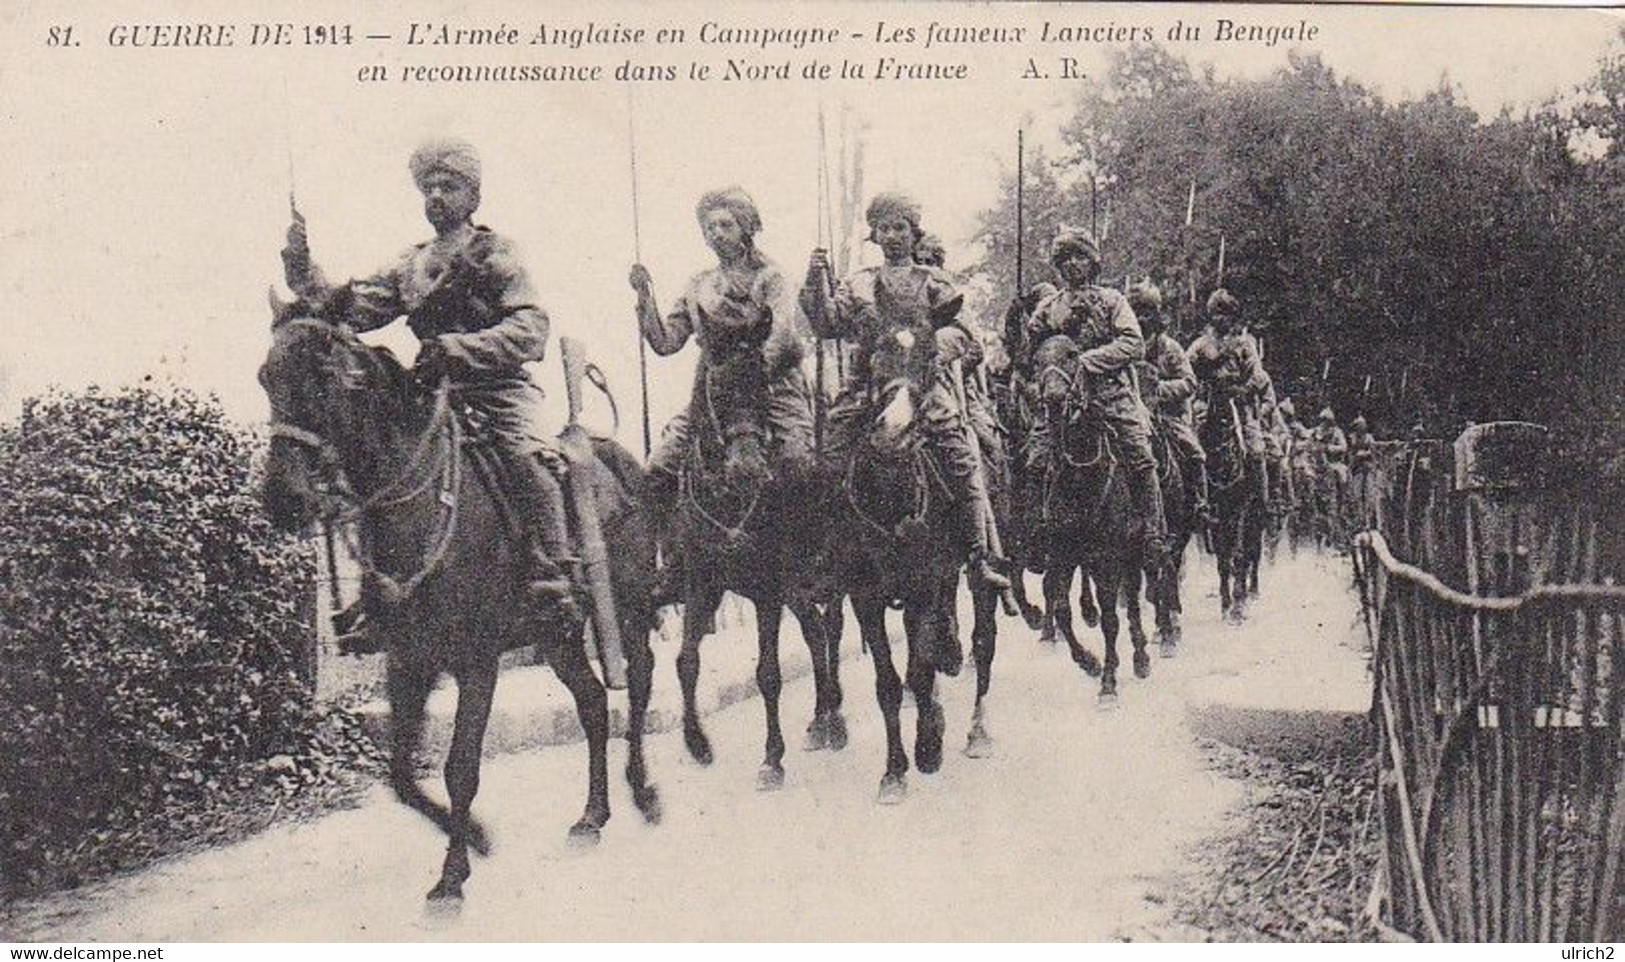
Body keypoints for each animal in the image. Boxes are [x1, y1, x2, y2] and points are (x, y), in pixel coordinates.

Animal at [255, 302, 659, 903]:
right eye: (266, 377)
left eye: (325, 378)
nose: (283, 498)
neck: (422, 504)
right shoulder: (408, 661)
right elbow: (400, 775)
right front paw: (478, 839)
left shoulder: (476, 661)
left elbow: (460, 767)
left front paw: (451, 875)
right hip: (556, 634)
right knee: (591, 702)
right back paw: (592, 816)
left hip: (627, 609)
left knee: (638, 681)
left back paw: (642, 791)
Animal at [672, 352, 851, 789]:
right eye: (717, 385)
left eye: (764, 386)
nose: (748, 468)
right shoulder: (701, 582)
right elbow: (687, 660)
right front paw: (697, 744)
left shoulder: (768, 589)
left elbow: (768, 674)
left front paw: (772, 759)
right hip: (797, 589)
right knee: (815, 633)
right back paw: (819, 722)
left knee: (832, 631)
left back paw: (835, 720)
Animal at [1027, 338, 1157, 698]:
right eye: (1037, 361)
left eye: (1073, 356)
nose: (1054, 398)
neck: (1079, 474)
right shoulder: (1062, 552)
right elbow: (1061, 608)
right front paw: (1089, 662)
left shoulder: (1107, 555)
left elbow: (1112, 617)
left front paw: (1109, 682)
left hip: (1133, 550)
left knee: (1135, 601)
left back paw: (1141, 657)